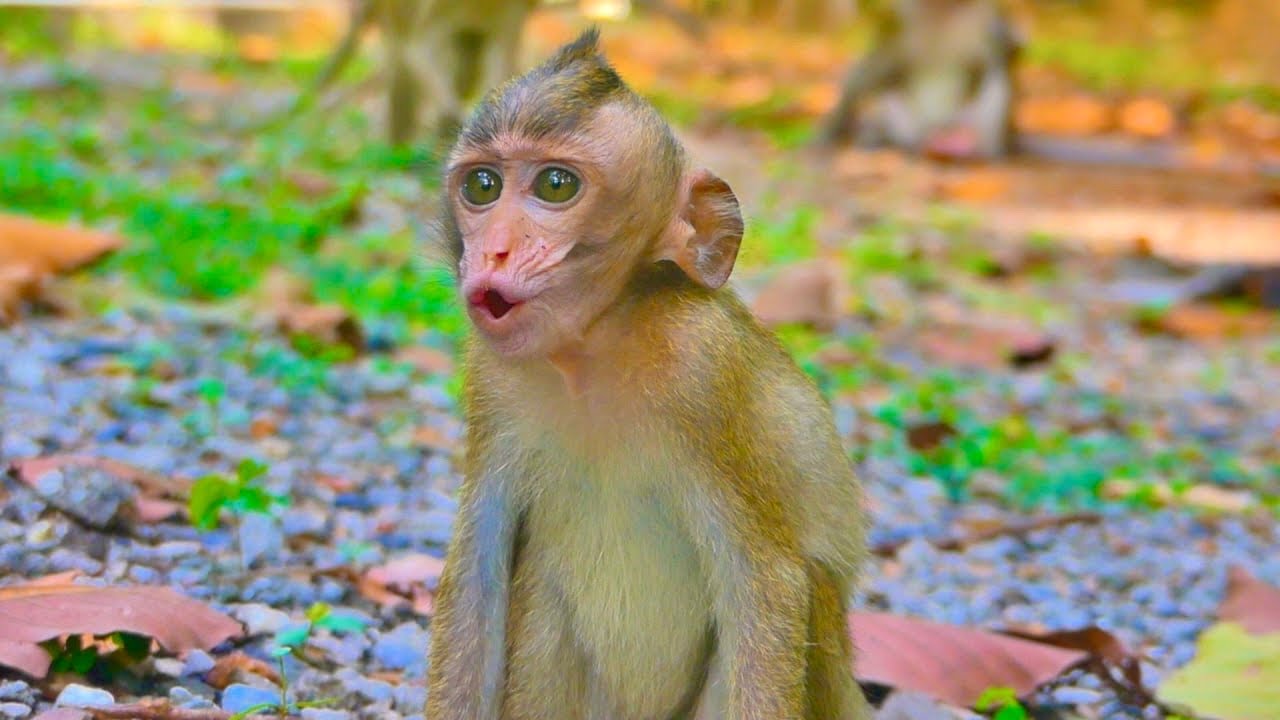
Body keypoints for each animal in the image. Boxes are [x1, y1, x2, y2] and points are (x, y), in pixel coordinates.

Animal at [425, 28, 870, 720]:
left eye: (556, 185)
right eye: (482, 186)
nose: (493, 250)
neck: (595, 349)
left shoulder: (704, 368)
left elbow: (767, 583)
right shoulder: (489, 377)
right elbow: (478, 571)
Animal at [817, 0, 1019, 160]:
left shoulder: (984, 19)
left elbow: (985, 61)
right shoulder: (903, 20)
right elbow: (878, 65)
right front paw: (832, 129)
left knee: (997, 77)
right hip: (911, 125)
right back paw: (887, 139)